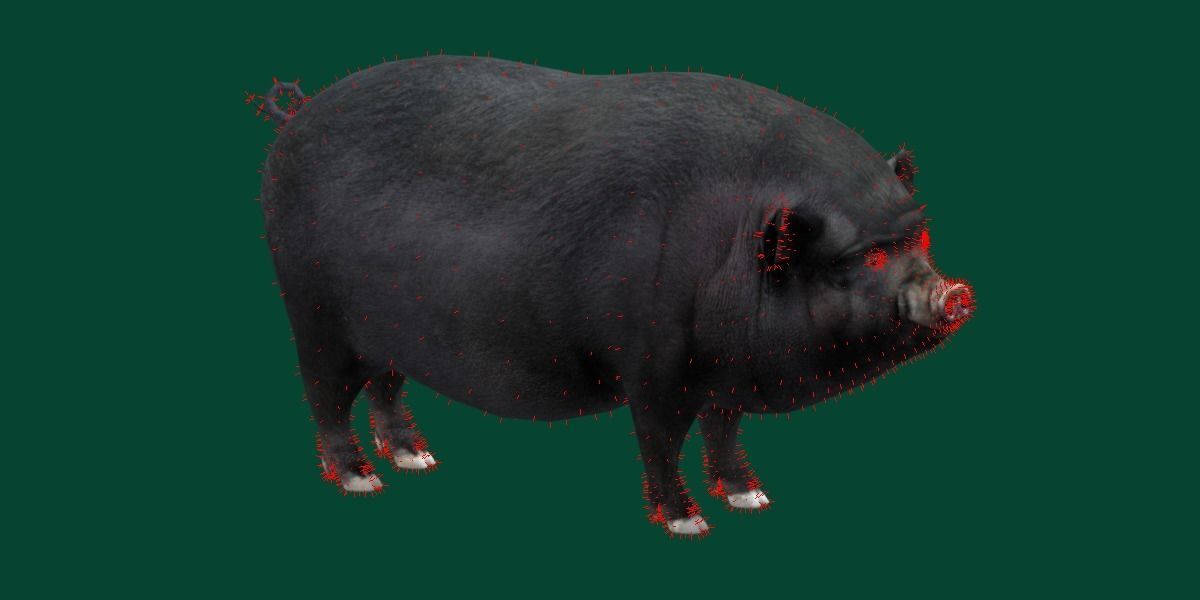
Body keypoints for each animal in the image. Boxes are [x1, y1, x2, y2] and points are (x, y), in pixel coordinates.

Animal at [257, 55, 973, 537]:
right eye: (859, 259)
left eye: (919, 239)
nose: (955, 293)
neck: (730, 247)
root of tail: (296, 116)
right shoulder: (652, 363)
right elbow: (659, 441)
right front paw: (689, 525)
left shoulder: (726, 377)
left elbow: (723, 433)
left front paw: (752, 500)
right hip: (312, 312)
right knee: (324, 399)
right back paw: (363, 480)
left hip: (387, 336)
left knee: (385, 387)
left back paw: (417, 459)